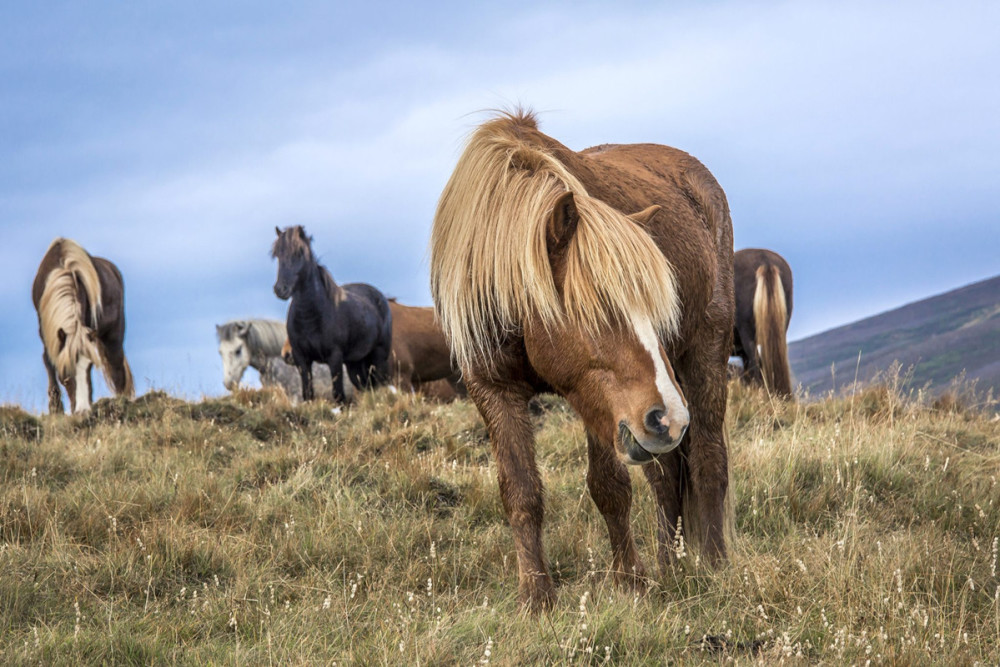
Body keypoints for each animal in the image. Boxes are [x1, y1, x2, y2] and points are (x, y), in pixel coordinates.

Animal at [31, 237, 134, 414]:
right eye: (66, 370)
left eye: (90, 367)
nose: (82, 411)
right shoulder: (46, 333)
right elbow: (48, 362)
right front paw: (55, 409)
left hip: (114, 335)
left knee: (117, 369)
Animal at [272, 224, 392, 404]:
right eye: (277, 254)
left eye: (299, 252)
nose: (281, 289)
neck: (310, 317)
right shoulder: (302, 359)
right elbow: (308, 394)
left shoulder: (334, 358)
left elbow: (338, 395)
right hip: (355, 363)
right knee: (366, 386)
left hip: (378, 356)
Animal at [430, 109, 736, 612]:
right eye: (599, 310)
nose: (669, 417)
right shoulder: (492, 389)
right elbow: (520, 492)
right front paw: (536, 598)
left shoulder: (594, 396)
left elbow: (609, 487)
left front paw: (630, 583)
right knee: (666, 475)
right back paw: (671, 567)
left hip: (704, 353)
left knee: (708, 458)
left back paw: (712, 566)